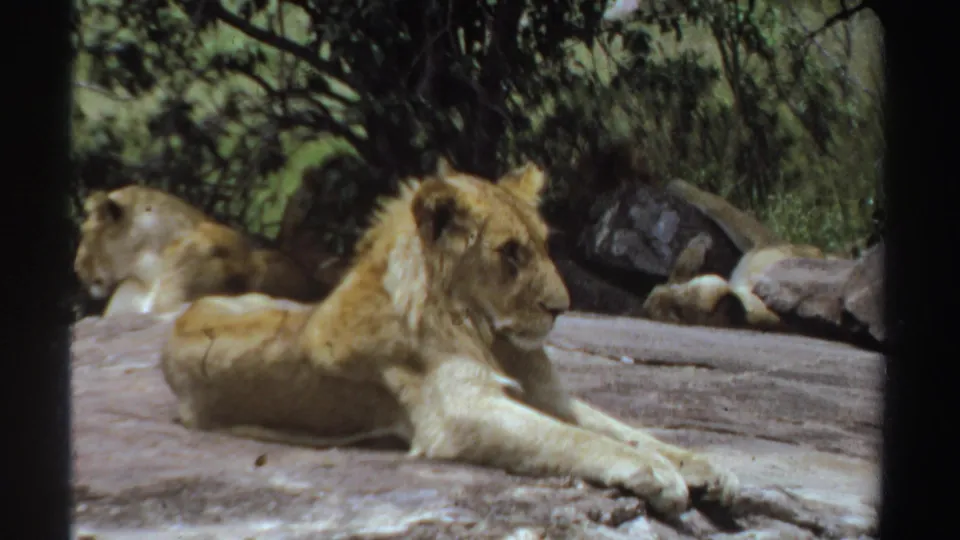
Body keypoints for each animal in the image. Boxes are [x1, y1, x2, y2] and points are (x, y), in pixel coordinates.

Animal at [161, 159, 740, 517]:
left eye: (542, 245)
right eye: (509, 252)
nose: (561, 308)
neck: (489, 333)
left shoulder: (546, 394)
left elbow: (624, 429)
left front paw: (703, 467)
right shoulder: (459, 412)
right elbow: (575, 439)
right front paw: (659, 475)